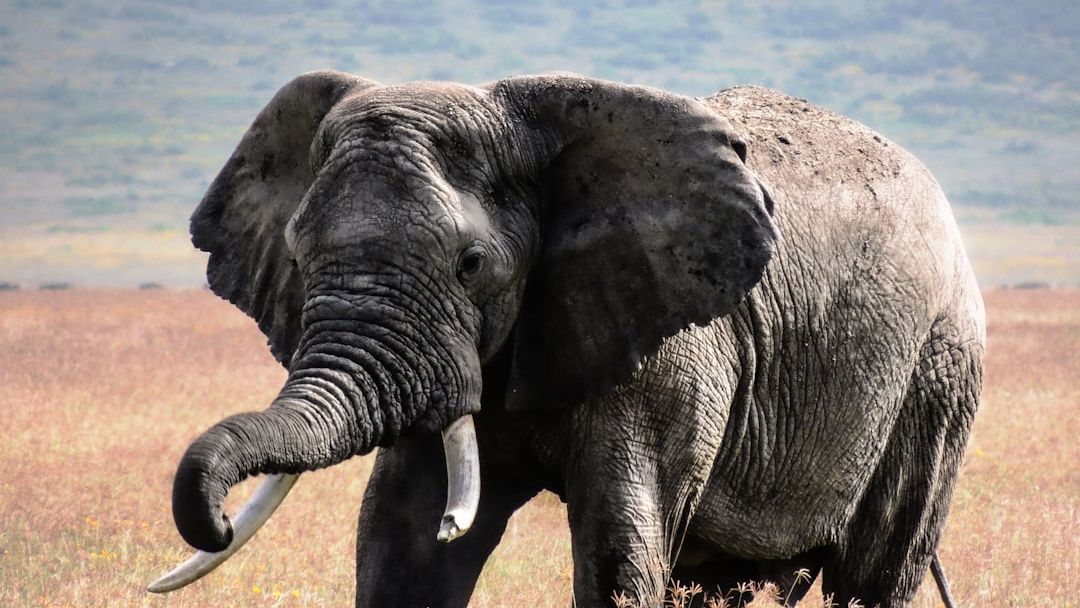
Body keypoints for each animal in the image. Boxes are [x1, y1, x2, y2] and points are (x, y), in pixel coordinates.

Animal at [149, 71, 984, 608]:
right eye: (295, 256)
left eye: (471, 263)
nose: (217, 519)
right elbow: (402, 543)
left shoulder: (668, 353)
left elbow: (619, 554)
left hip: (938, 375)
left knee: (873, 576)